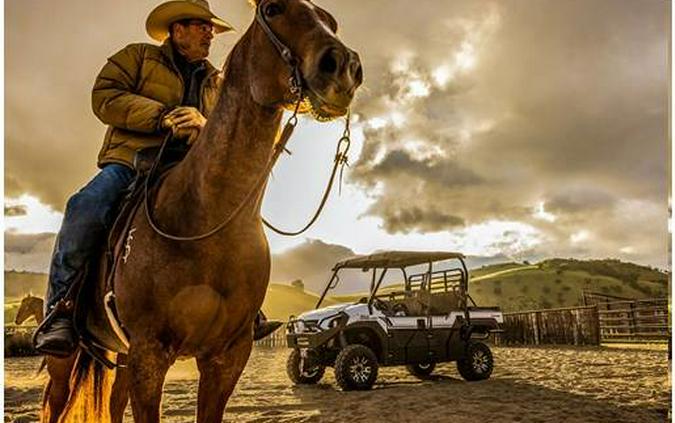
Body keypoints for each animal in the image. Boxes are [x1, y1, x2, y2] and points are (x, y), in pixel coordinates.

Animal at [44, 0, 362, 423]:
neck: (206, 218)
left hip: (124, 357)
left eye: (331, 21)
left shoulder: (226, 358)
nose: (344, 66)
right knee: (56, 397)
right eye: (273, 9)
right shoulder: (149, 354)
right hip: (67, 359)